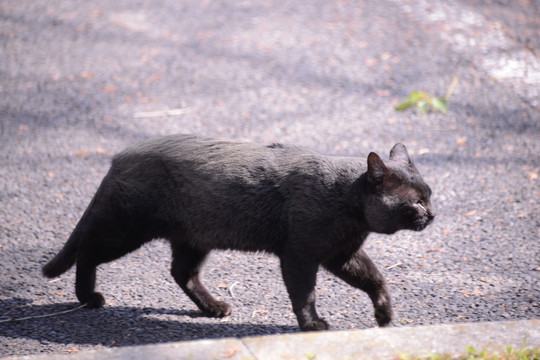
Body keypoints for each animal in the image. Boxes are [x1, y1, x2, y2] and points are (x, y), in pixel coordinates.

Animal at [44, 136, 436, 332]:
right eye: (415, 202)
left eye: (430, 195)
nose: (433, 214)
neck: (344, 199)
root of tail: (119, 158)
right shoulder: (300, 255)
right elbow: (304, 294)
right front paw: (312, 324)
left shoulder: (341, 254)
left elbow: (376, 280)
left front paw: (384, 316)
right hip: (126, 231)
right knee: (88, 252)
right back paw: (88, 297)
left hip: (194, 237)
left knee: (181, 273)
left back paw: (214, 307)